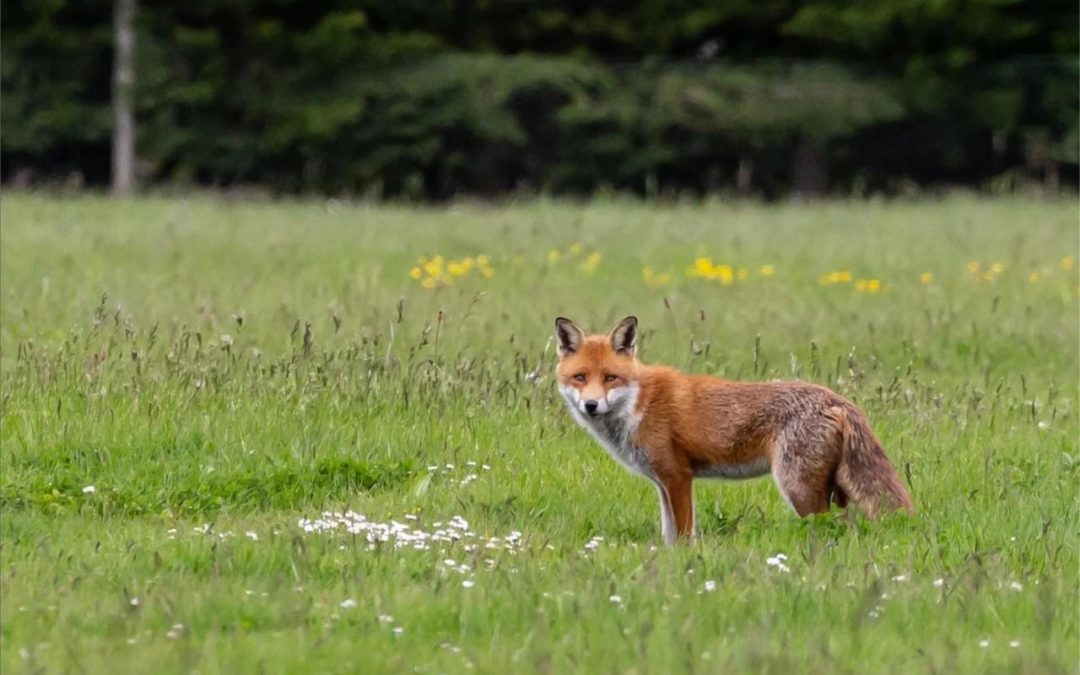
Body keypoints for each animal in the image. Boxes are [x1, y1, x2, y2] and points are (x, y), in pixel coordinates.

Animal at [552, 315, 915, 542]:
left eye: (610, 377)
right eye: (580, 377)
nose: (591, 405)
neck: (638, 403)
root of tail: (838, 399)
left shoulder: (677, 476)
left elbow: (683, 535)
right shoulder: (662, 483)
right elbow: (668, 535)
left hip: (798, 488)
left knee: (826, 528)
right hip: (834, 490)